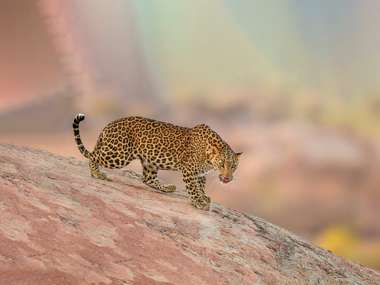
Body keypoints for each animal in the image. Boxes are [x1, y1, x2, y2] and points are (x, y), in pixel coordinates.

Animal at [72, 112, 242, 209]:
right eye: (222, 164)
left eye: (233, 166)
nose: (227, 178)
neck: (208, 158)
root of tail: (107, 126)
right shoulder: (189, 170)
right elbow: (193, 188)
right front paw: (198, 202)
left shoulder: (199, 173)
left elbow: (200, 185)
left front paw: (203, 197)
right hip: (119, 155)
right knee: (94, 156)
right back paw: (97, 173)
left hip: (150, 161)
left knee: (147, 179)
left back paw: (168, 188)